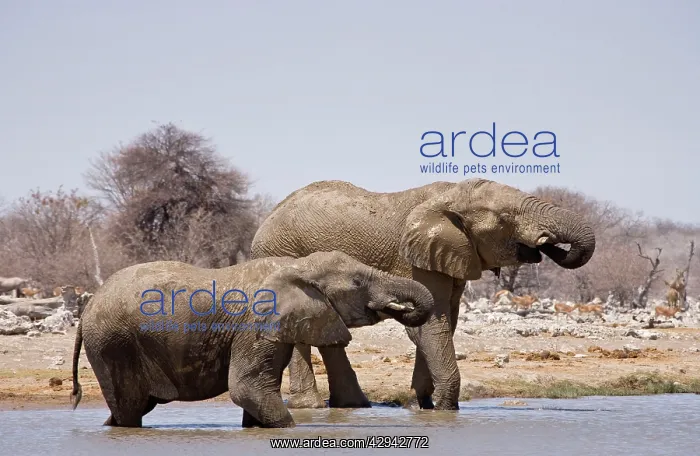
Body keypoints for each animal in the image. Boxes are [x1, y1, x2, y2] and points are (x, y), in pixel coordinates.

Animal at [69, 250, 435, 428]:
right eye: (358, 282)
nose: (406, 311)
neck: (298, 266)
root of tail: (86, 310)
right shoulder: (254, 324)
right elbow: (247, 387)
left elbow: (258, 390)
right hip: (114, 345)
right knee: (130, 408)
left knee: (127, 410)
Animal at [250, 178, 596, 410]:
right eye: (505, 219)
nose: (545, 241)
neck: (451, 195)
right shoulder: (416, 258)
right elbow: (434, 323)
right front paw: (444, 408)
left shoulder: (453, 254)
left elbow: (446, 322)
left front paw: (423, 405)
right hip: (281, 253)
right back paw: (310, 406)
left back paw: (353, 406)